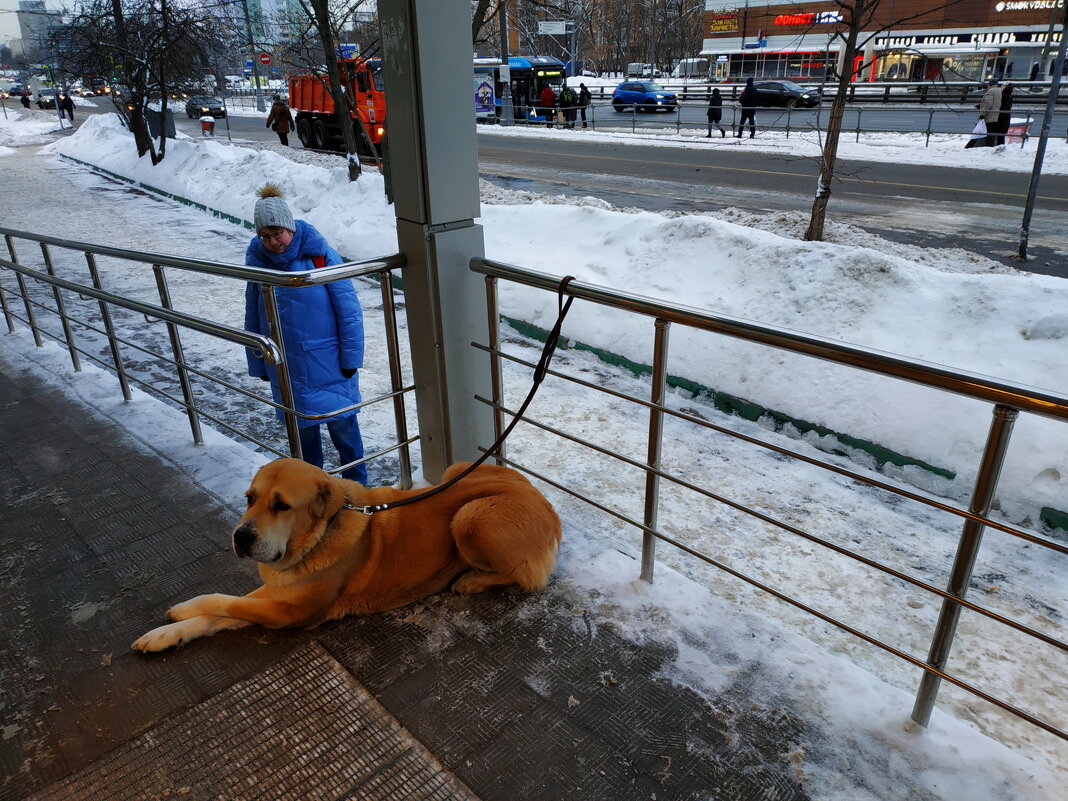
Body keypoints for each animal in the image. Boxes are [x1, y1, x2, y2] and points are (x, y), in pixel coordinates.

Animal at [135, 457, 559, 653]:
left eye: (281, 505)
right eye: (249, 498)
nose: (241, 536)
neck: (318, 536)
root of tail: (545, 501)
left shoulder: (293, 613)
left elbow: (224, 601)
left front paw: (184, 609)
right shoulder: (281, 593)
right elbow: (225, 610)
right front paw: (166, 634)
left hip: (470, 519)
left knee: (530, 577)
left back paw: (471, 579)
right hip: (456, 470)